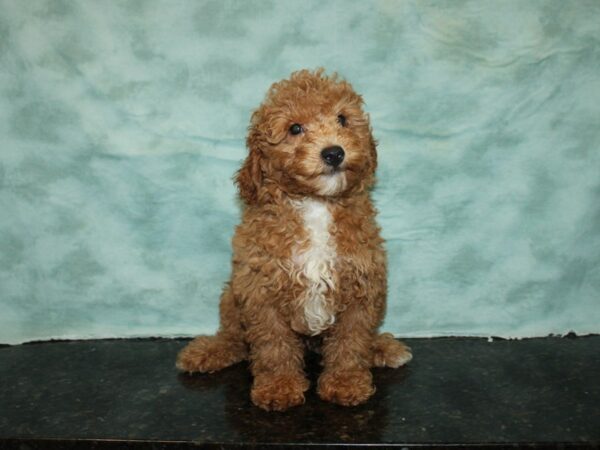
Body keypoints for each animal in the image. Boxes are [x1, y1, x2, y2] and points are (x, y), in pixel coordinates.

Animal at [177, 69, 412, 412]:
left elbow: (351, 341)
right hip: (231, 296)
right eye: (295, 129)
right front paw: (279, 386)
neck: (316, 204)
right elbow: (273, 346)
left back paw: (381, 347)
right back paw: (210, 351)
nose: (333, 152)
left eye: (342, 119)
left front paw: (346, 382)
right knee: (234, 337)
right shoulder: (260, 290)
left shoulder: (363, 285)